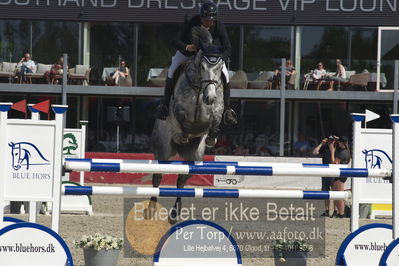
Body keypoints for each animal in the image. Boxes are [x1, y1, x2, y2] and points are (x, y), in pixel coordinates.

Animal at [150, 27, 225, 222]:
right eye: (203, 67)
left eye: (219, 68)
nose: (210, 97)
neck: (200, 88)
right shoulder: (179, 109)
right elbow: (184, 120)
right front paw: (184, 134)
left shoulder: (214, 113)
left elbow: (215, 120)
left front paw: (212, 138)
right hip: (163, 150)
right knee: (157, 176)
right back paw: (151, 208)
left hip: (194, 156)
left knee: (181, 181)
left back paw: (174, 214)